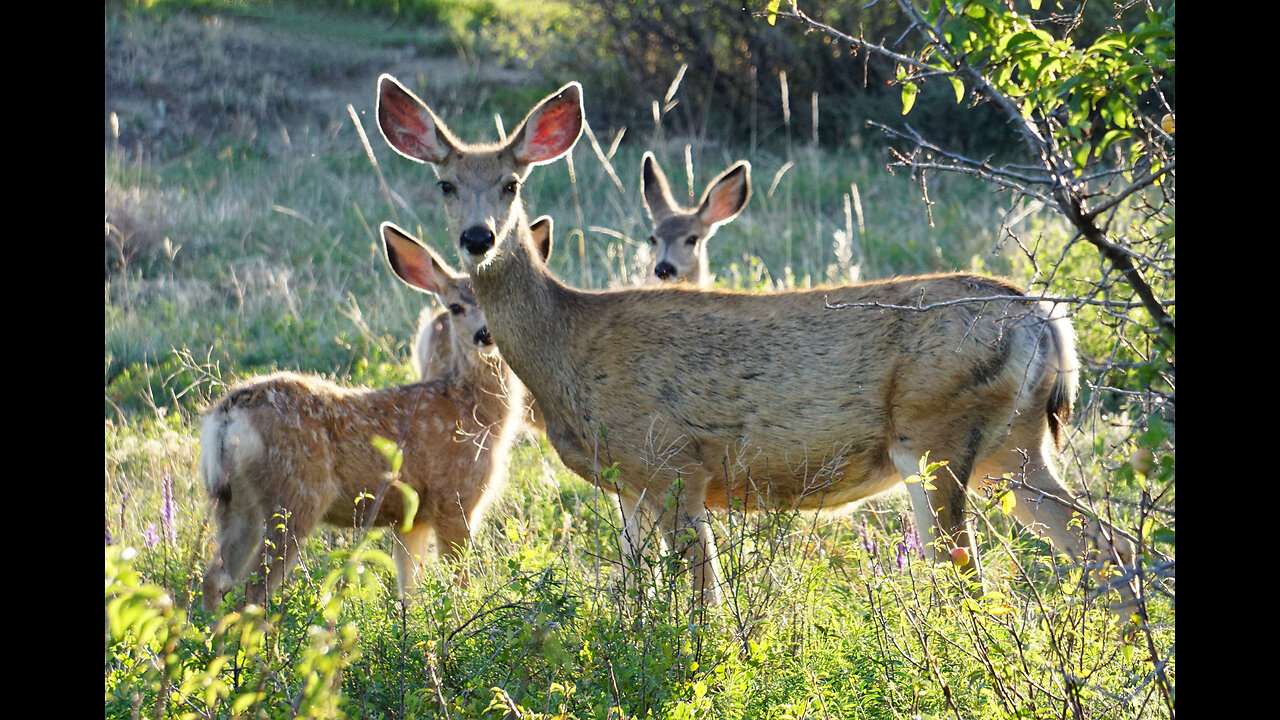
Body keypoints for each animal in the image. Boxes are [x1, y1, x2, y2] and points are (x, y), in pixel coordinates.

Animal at [203, 221, 529, 607]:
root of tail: (226, 418)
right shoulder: (454, 499)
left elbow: (410, 590)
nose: (485, 335)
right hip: (294, 498)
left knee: (214, 579)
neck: (474, 411)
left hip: (235, 503)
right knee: (252, 591)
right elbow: (458, 583)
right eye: (455, 307)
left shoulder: (412, 518)